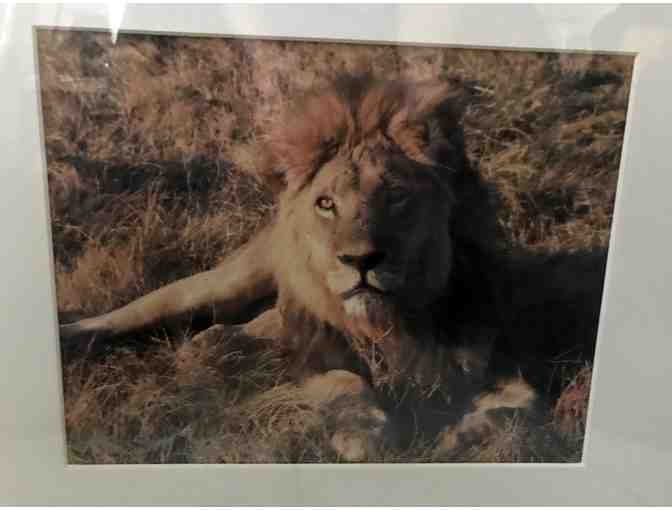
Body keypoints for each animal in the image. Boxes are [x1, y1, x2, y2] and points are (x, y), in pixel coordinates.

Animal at [60, 74, 606, 461]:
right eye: (326, 204)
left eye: (397, 197)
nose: (360, 260)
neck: (390, 325)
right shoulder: (315, 353)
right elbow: (345, 383)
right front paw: (362, 435)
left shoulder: (491, 357)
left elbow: (522, 407)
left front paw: (464, 436)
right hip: (220, 285)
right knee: (133, 314)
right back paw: (72, 337)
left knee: (231, 332)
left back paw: (212, 352)